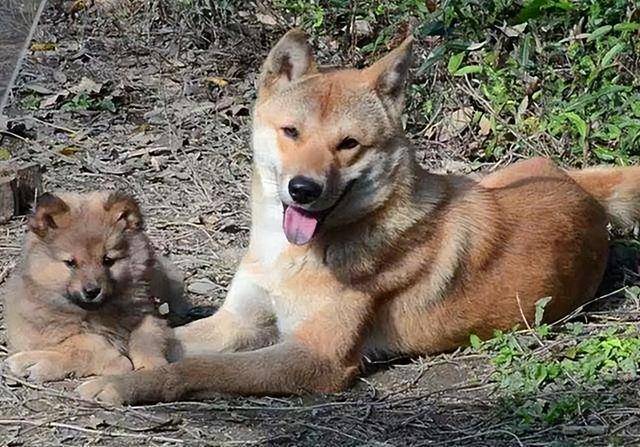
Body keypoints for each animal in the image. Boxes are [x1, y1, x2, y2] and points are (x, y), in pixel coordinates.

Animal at [79, 31, 640, 406]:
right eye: (291, 131)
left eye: (348, 144)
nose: (303, 189)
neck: (293, 256)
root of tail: (581, 191)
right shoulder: (237, 321)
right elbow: (164, 336)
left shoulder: (315, 359)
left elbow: (200, 366)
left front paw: (130, 383)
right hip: (493, 177)